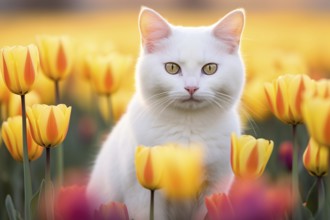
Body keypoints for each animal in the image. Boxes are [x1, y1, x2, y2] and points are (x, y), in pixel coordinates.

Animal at [87, 7, 245, 220]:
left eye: (210, 68)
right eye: (172, 67)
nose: (191, 87)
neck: (188, 128)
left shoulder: (215, 187)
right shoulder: (142, 193)